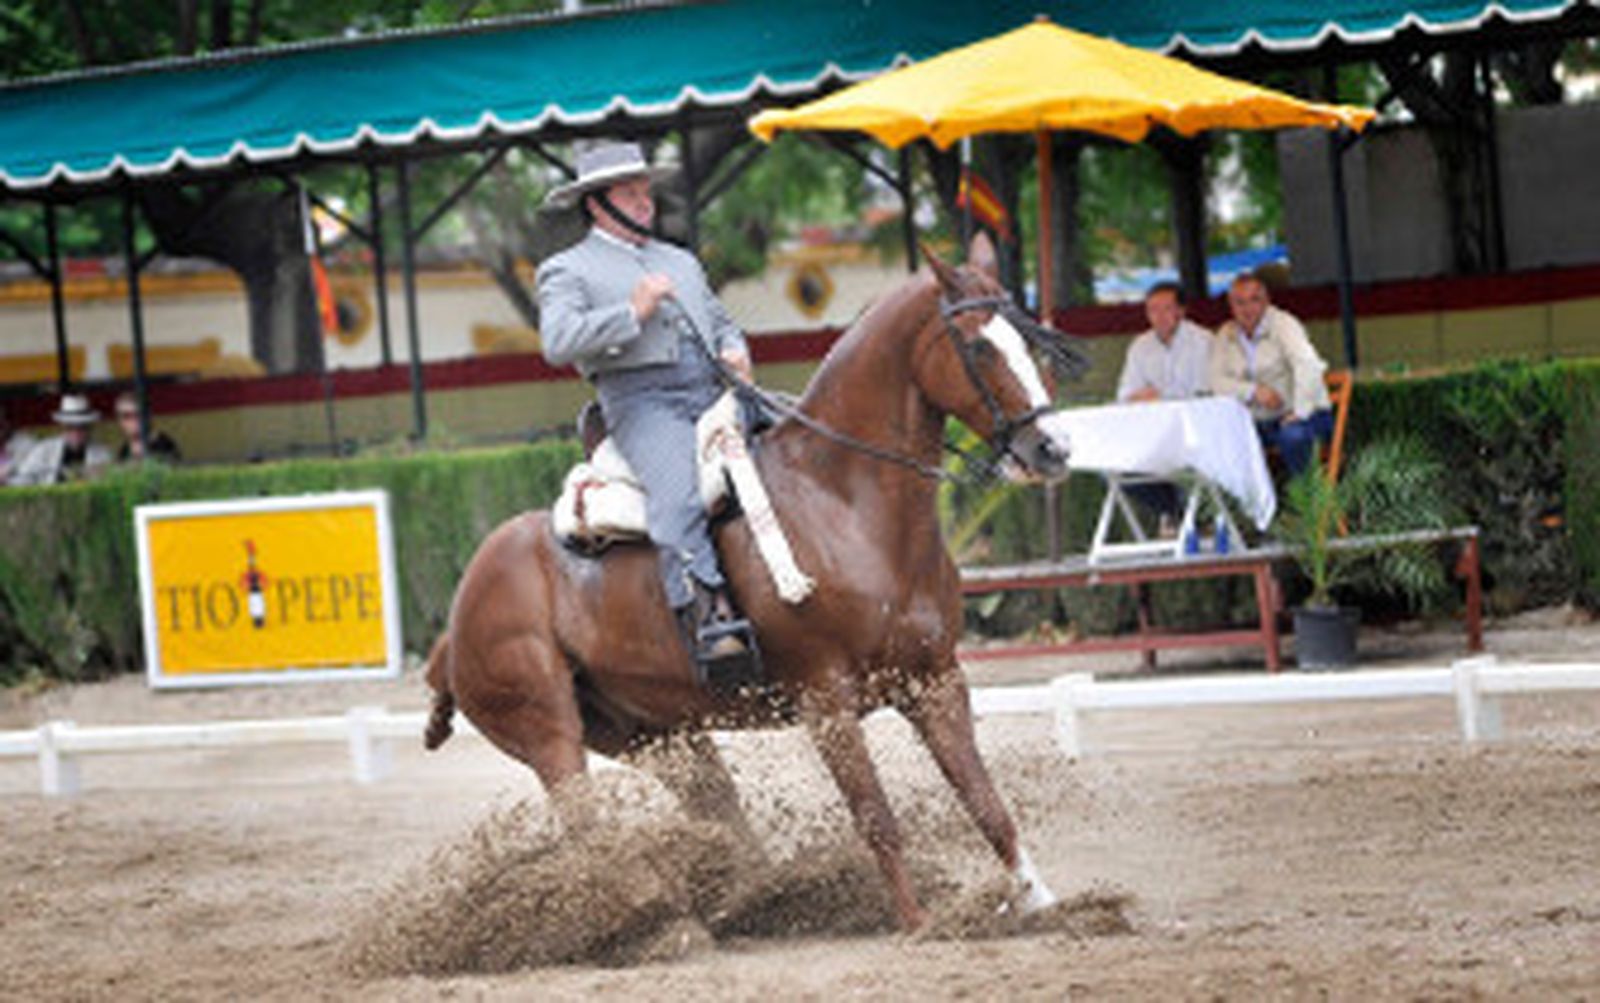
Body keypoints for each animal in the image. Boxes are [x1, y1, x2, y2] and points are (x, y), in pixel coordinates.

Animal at [424, 250, 1075, 931]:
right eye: (978, 346)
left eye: (1029, 340)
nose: (1052, 448)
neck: (842, 504)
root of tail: (456, 622)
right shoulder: (826, 702)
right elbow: (876, 818)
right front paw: (918, 926)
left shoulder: (935, 682)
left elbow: (985, 801)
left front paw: (1043, 902)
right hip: (553, 737)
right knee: (589, 836)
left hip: (654, 737)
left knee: (715, 812)